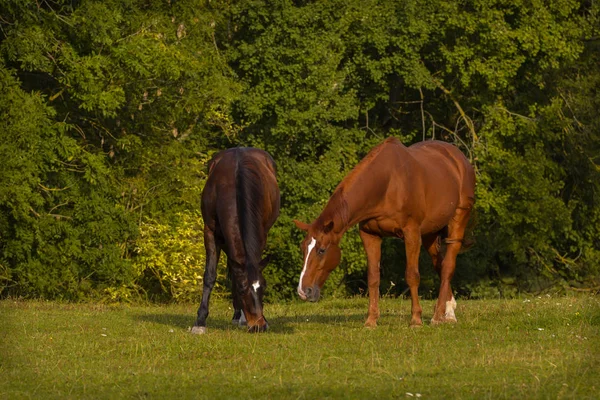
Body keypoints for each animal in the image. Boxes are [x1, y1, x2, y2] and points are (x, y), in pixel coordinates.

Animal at [192, 148, 282, 332]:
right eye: (242, 289)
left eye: (263, 287)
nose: (259, 326)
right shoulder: (210, 232)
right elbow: (210, 275)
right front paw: (200, 320)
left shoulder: (261, 234)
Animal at [294, 137, 474, 324]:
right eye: (302, 248)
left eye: (322, 250)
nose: (303, 291)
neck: (387, 183)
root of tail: (459, 158)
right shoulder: (370, 235)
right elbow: (373, 277)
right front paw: (371, 320)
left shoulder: (411, 233)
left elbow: (412, 275)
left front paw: (415, 319)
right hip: (430, 233)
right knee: (439, 264)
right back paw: (447, 310)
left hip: (458, 219)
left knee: (447, 266)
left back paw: (440, 315)